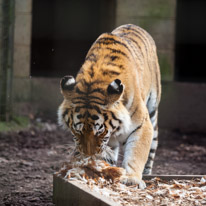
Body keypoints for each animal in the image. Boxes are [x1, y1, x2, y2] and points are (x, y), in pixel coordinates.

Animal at [58, 23, 161, 188]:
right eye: (77, 131)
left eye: (99, 132)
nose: (89, 155)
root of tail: (134, 25)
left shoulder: (142, 125)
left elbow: (136, 153)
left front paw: (131, 178)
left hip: (152, 110)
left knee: (152, 148)